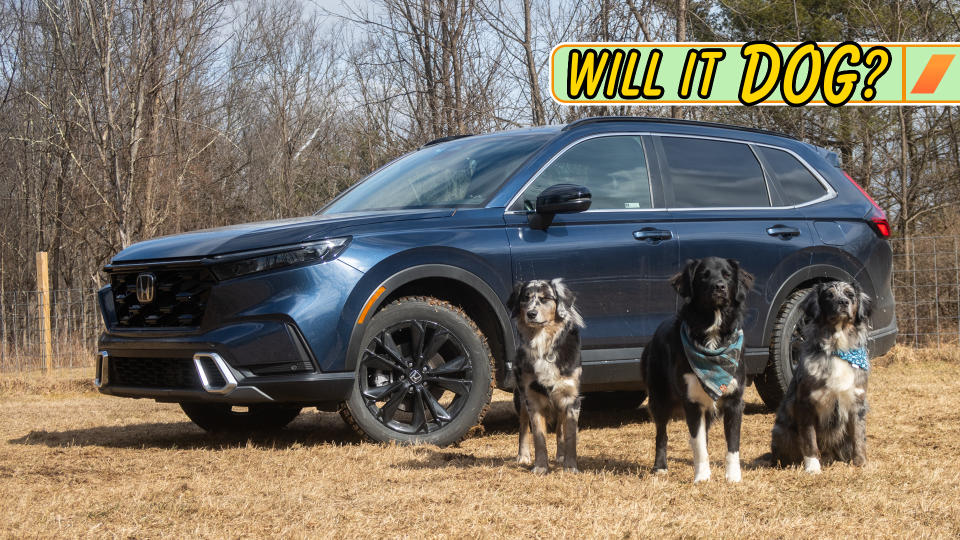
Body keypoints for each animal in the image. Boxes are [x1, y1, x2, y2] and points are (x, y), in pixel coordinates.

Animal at [510, 278, 584, 472]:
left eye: (545, 299)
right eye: (525, 298)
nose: (531, 313)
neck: (543, 344)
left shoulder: (570, 398)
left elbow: (570, 435)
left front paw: (570, 466)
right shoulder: (532, 398)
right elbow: (538, 436)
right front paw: (540, 467)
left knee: (560, 430)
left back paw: (560, 456)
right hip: (520, 396)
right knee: (523, 426)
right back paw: (523, 455)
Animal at [640, 255, 752, 484]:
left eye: (727, 275)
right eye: (703, 276)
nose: (719, 287)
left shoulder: (735, 400)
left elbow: (733, 445)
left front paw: (733, 477)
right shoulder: (691, 401)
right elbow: (699, 445)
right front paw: (702, 477)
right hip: (659, 398)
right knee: (661, 434)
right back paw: (660, 467)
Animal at [768, 282, 872, 472]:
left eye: (850, 295)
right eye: (829, 295)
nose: (843, 302)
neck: (837, 349)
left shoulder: (857, 402)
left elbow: (859, 437)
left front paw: (860, 463)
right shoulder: (806, 404)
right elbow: (810, 441)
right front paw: (813, 468)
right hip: (781, 431)